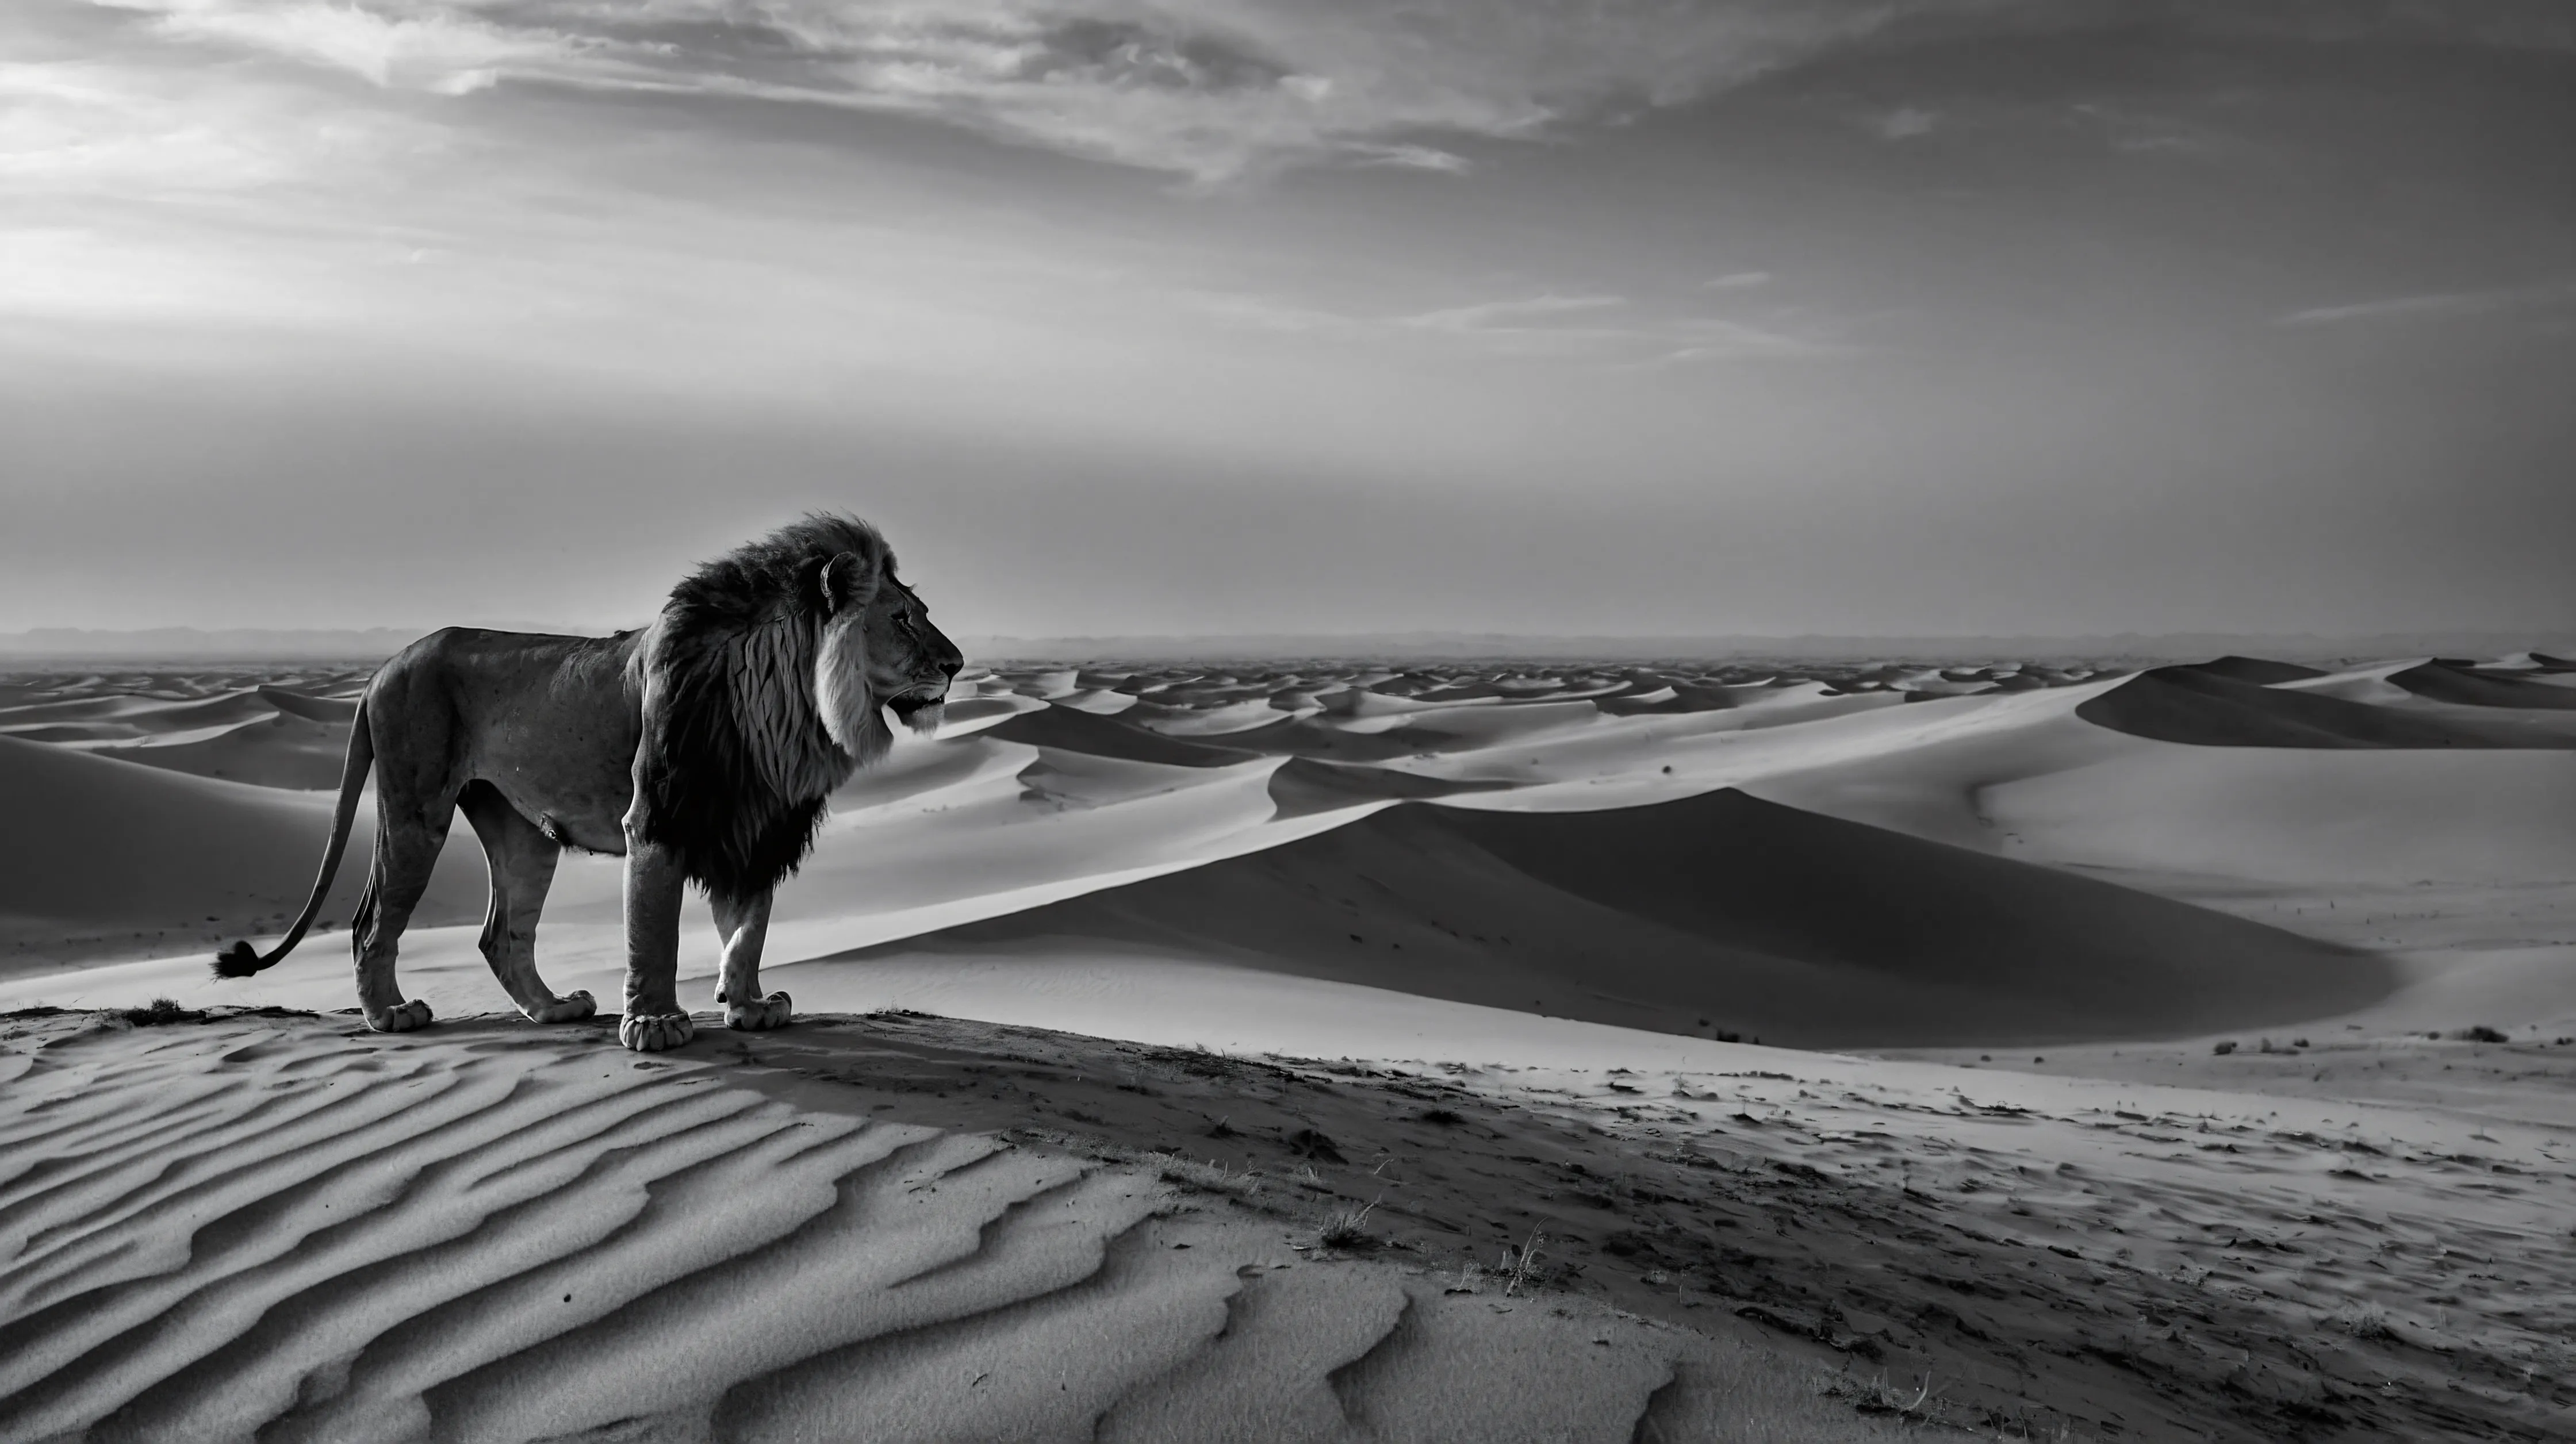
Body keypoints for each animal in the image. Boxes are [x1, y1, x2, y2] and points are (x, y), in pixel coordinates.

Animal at [213, 513, 962, 1052]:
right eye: (902, 619)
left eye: (923, 610)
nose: (956, 664)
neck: (787, 703)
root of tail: (380, 669)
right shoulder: (658, 816)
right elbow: (654, 929)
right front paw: (656, 1025)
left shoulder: (753, 826)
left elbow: (748, 927)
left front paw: (748, 1005)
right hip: (415, 805)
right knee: (371, 922)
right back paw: (390, 1014)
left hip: (522, 832)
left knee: (502, 932)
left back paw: (553, 1009)